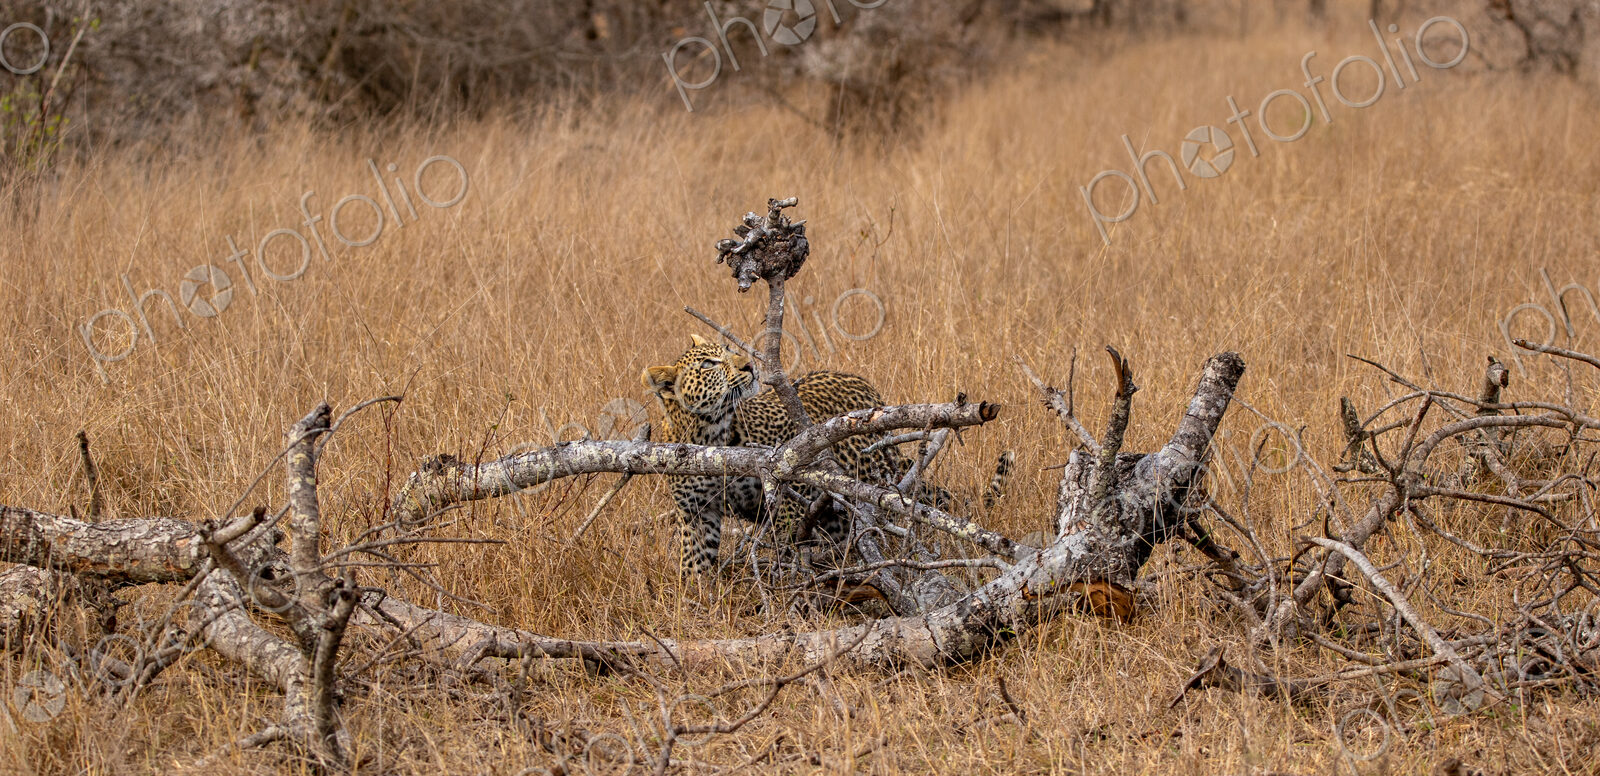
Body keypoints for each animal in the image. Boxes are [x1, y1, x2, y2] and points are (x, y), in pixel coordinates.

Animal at [641, 334, 1012, 578]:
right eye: (708, 364)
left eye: (731, 351)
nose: (748, 365)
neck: (709, 434)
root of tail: (863, 384)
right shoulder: (696, 514)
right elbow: (693, 567)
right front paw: (696, 606)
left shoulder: (788, 503)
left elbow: (788, 556)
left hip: (868, 475)